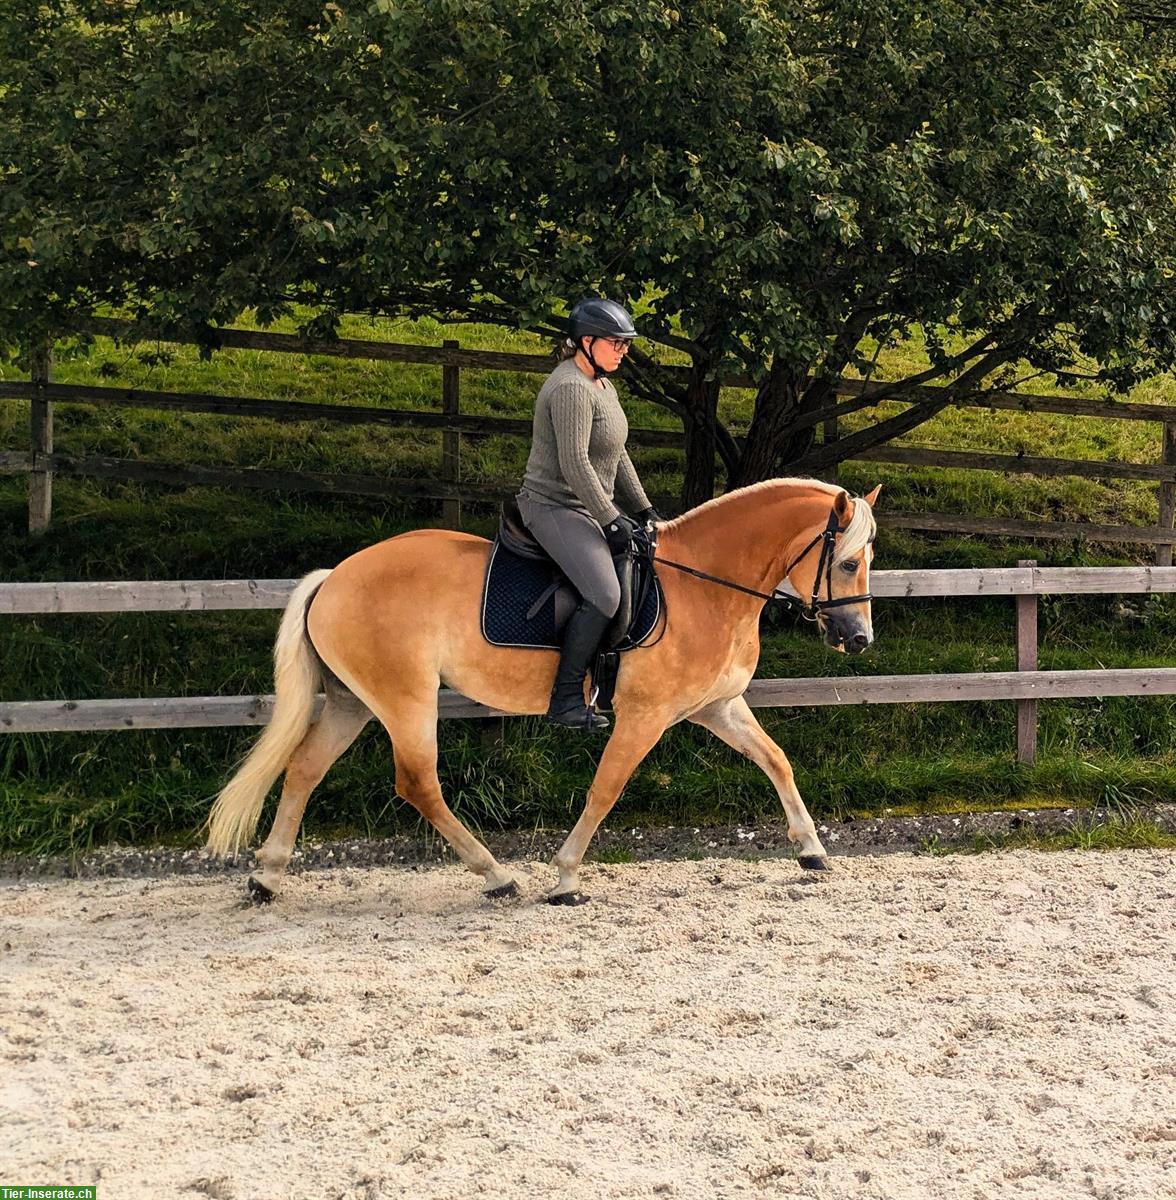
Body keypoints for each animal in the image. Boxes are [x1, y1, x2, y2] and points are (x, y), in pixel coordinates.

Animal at [206, 472, 878, 902]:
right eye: (847, 562)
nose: (858, 639)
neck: (704, 584)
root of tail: (335, 577)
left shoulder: (717, 706)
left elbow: (777, 760)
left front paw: (811, 849)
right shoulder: (645, 716)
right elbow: (606, 790)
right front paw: (566, 876)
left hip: (353, 701)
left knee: (305, 767)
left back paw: (267, 878)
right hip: (405, 699)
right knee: (418, 783)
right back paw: (497, 876)